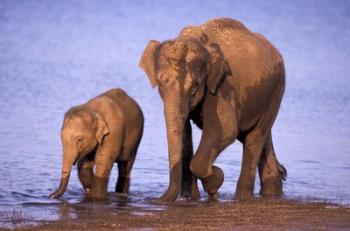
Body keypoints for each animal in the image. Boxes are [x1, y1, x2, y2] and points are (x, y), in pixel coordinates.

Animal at [139, 18, 288, 202]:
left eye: (194, 87)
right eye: (160, 84)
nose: (154, 200)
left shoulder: (222, 84)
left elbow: (226, 128)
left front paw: (215, 180)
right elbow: (185, 133)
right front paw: (192, 198)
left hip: (277, 89)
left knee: (254, 137)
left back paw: (242, 197)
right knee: (258, 135)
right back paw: (272, 191)